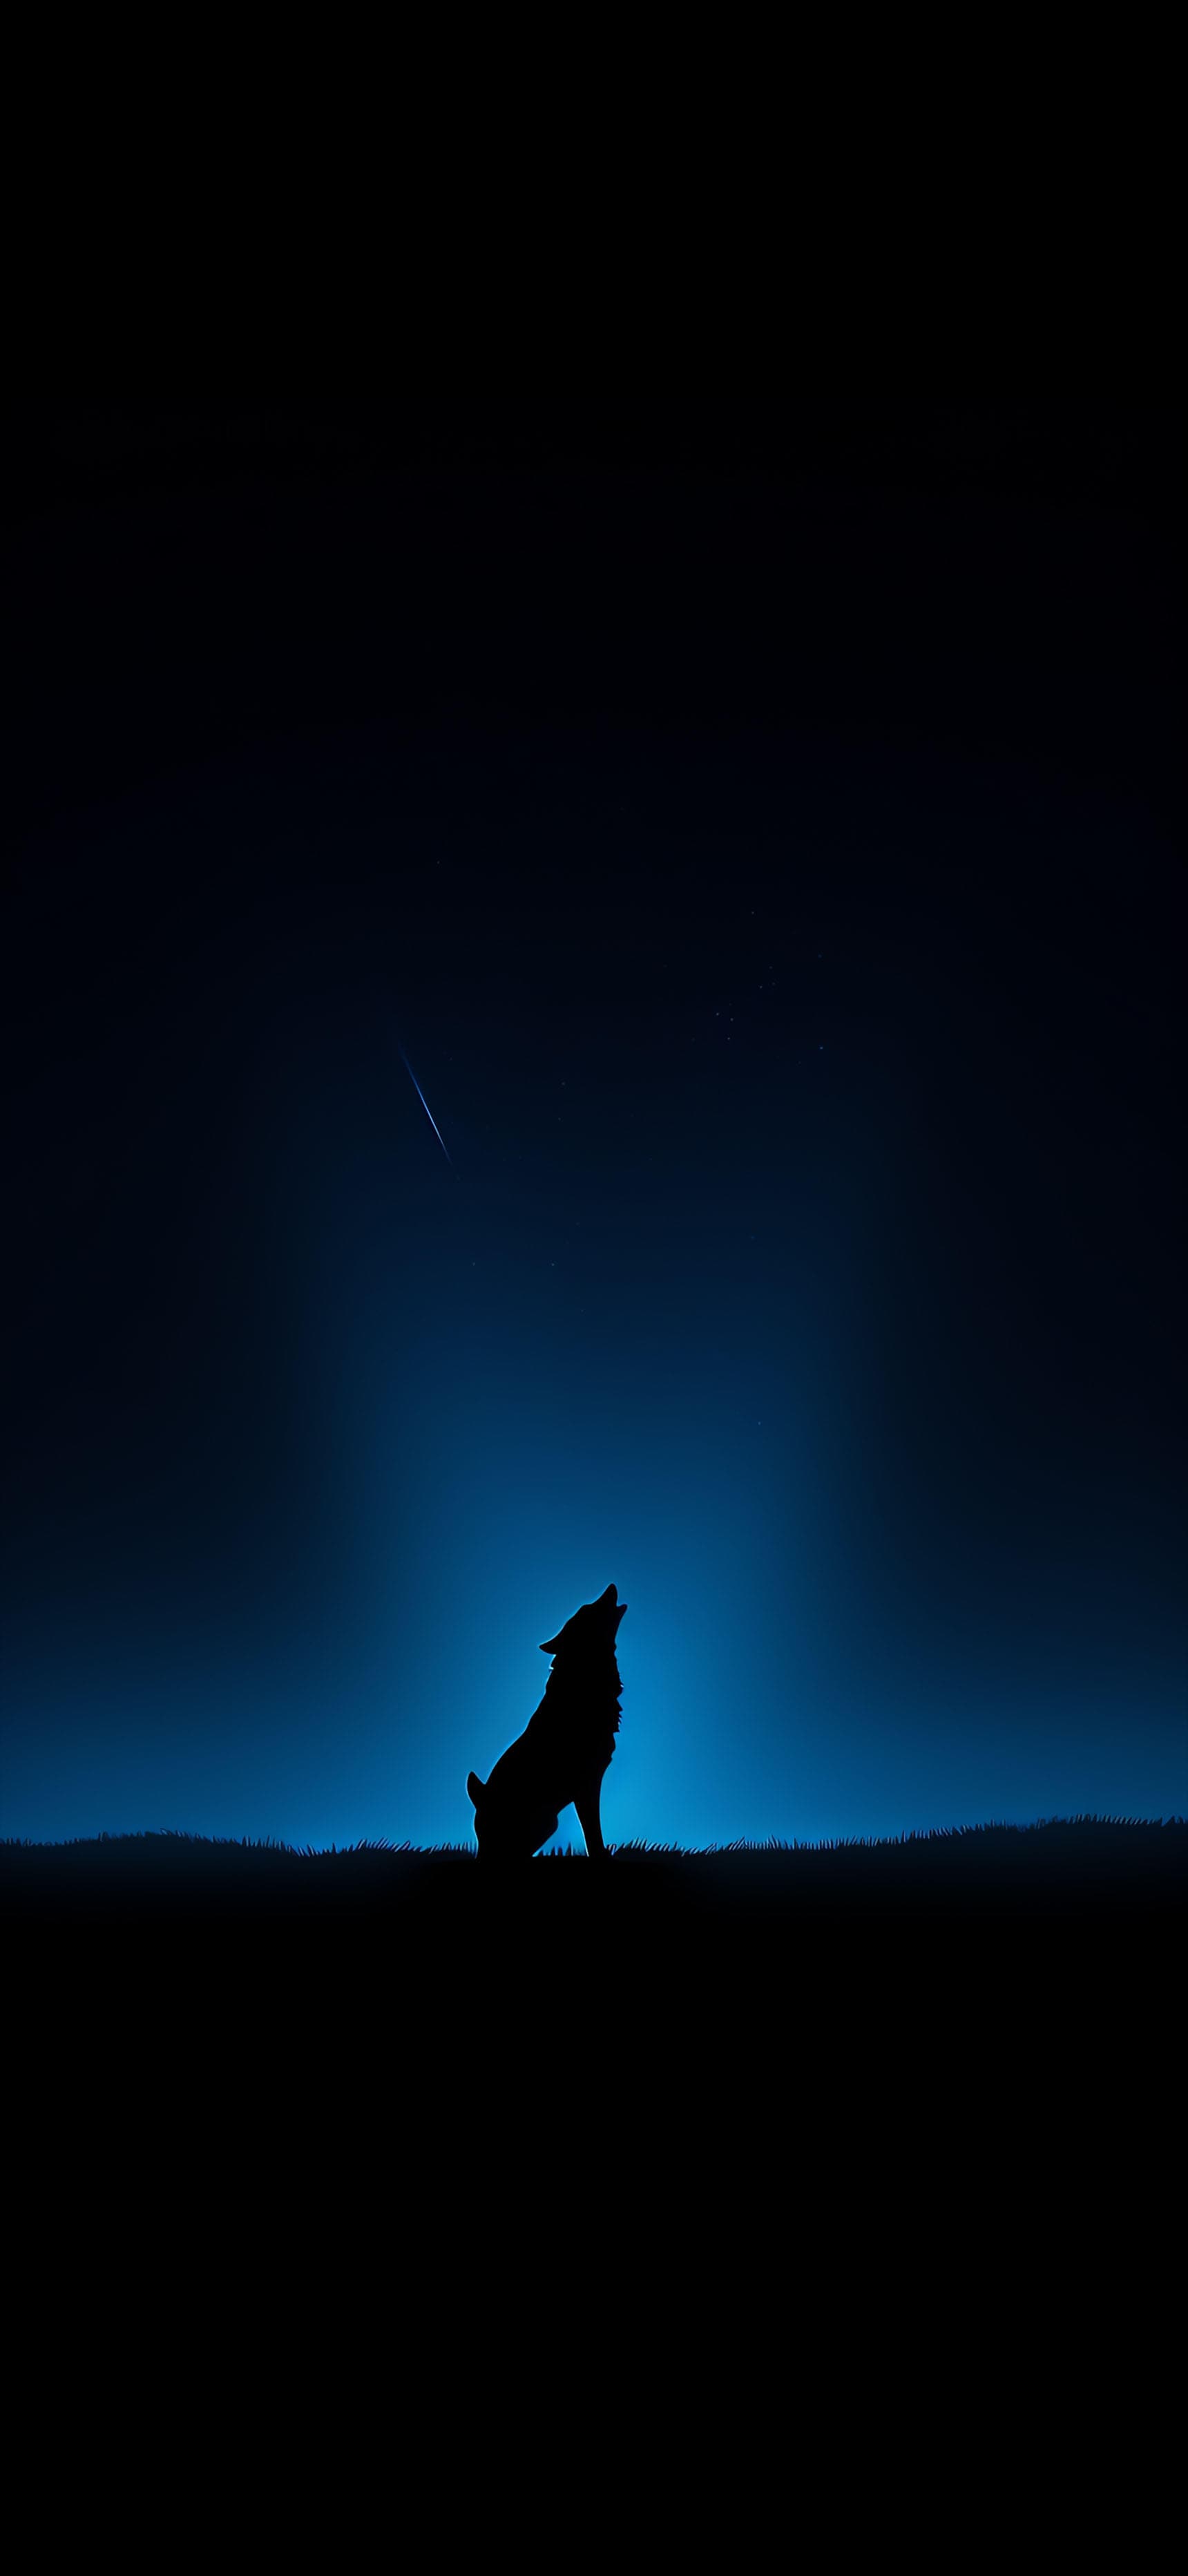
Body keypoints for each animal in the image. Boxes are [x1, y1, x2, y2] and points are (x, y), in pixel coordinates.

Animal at [466, 1581, 627, 1858]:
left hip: (547, 1825)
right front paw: (601, 1855)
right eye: (587, 1609)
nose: (611, 1585)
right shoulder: (586, 1783)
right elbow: (592, 1831)